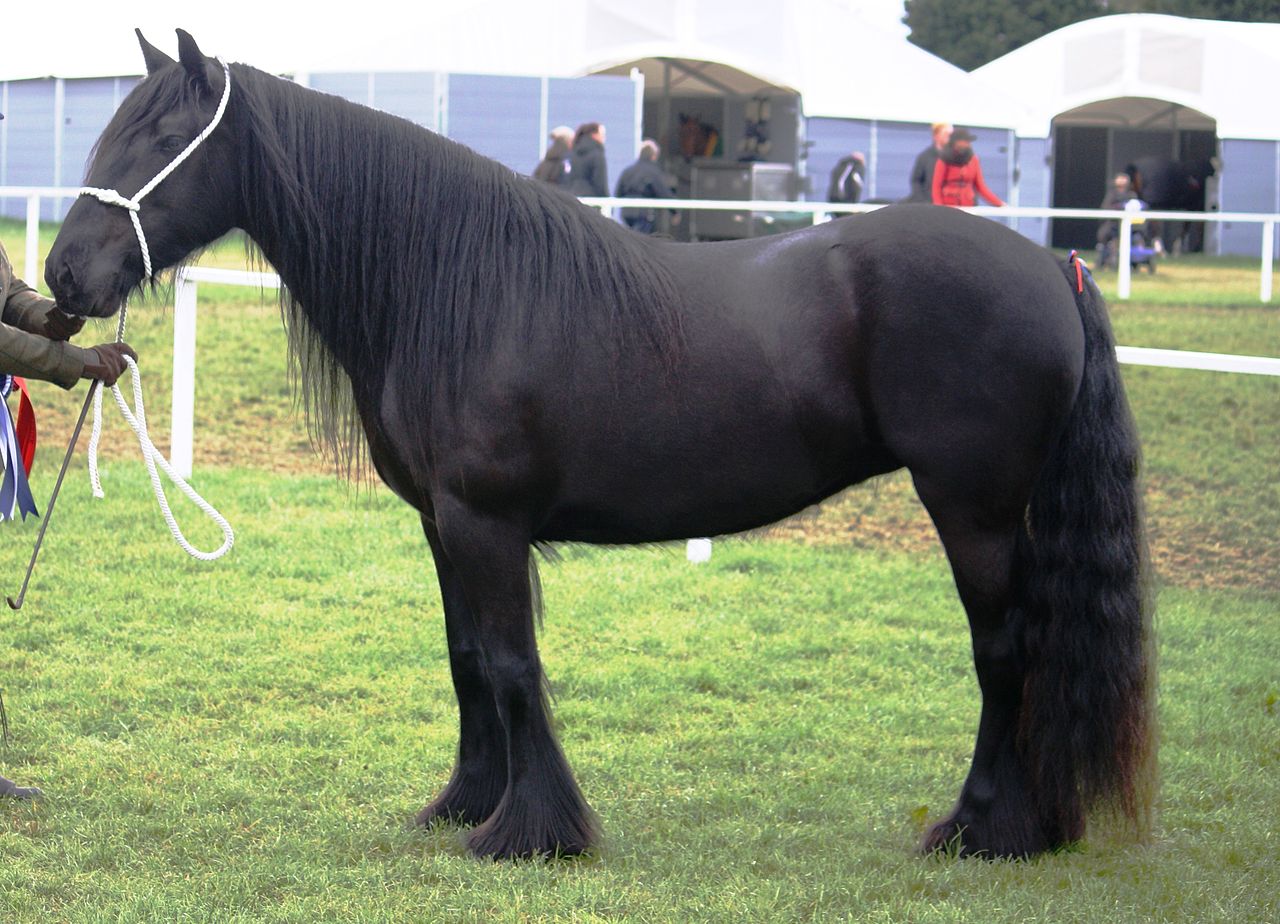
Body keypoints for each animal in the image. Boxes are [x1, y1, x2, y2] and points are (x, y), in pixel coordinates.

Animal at [45, 30, 1157, 865]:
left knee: (1004, 650)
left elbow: (509, 663)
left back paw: (982, 828)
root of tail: (1050, 265)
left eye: (162, 136)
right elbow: (464, 658)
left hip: (971, 508)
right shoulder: (444, 526)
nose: (62, 274)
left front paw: (531, 833)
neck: (455, 283)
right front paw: (463, 804)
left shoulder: (485, 522)